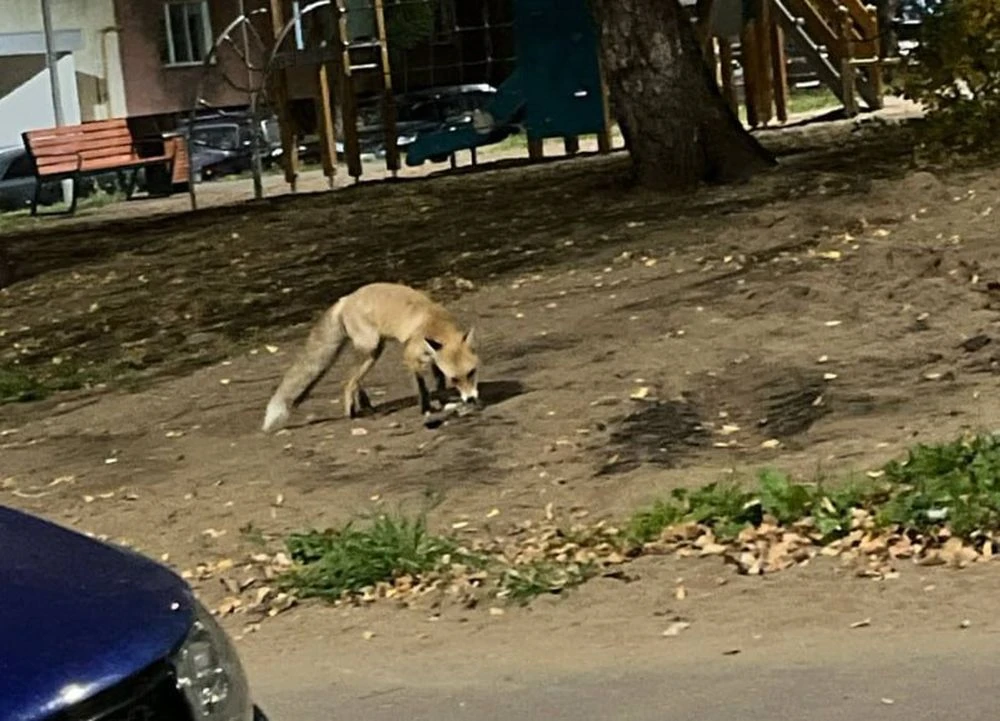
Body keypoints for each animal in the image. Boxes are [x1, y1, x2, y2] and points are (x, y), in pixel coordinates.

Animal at [261, 282, 481, 433]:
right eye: (455, 379)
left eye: (471, 373)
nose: (471, 399)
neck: (434, 323)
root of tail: (345, 299)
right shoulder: (410, 357)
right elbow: (422, 388)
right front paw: (426, 409)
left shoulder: (434, 359)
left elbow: (438, 381)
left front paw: (443, 400)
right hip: (372, 349)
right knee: (348, 381)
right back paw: (352, 413)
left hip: (372, 352)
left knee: (355, 380)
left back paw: (366, 405)